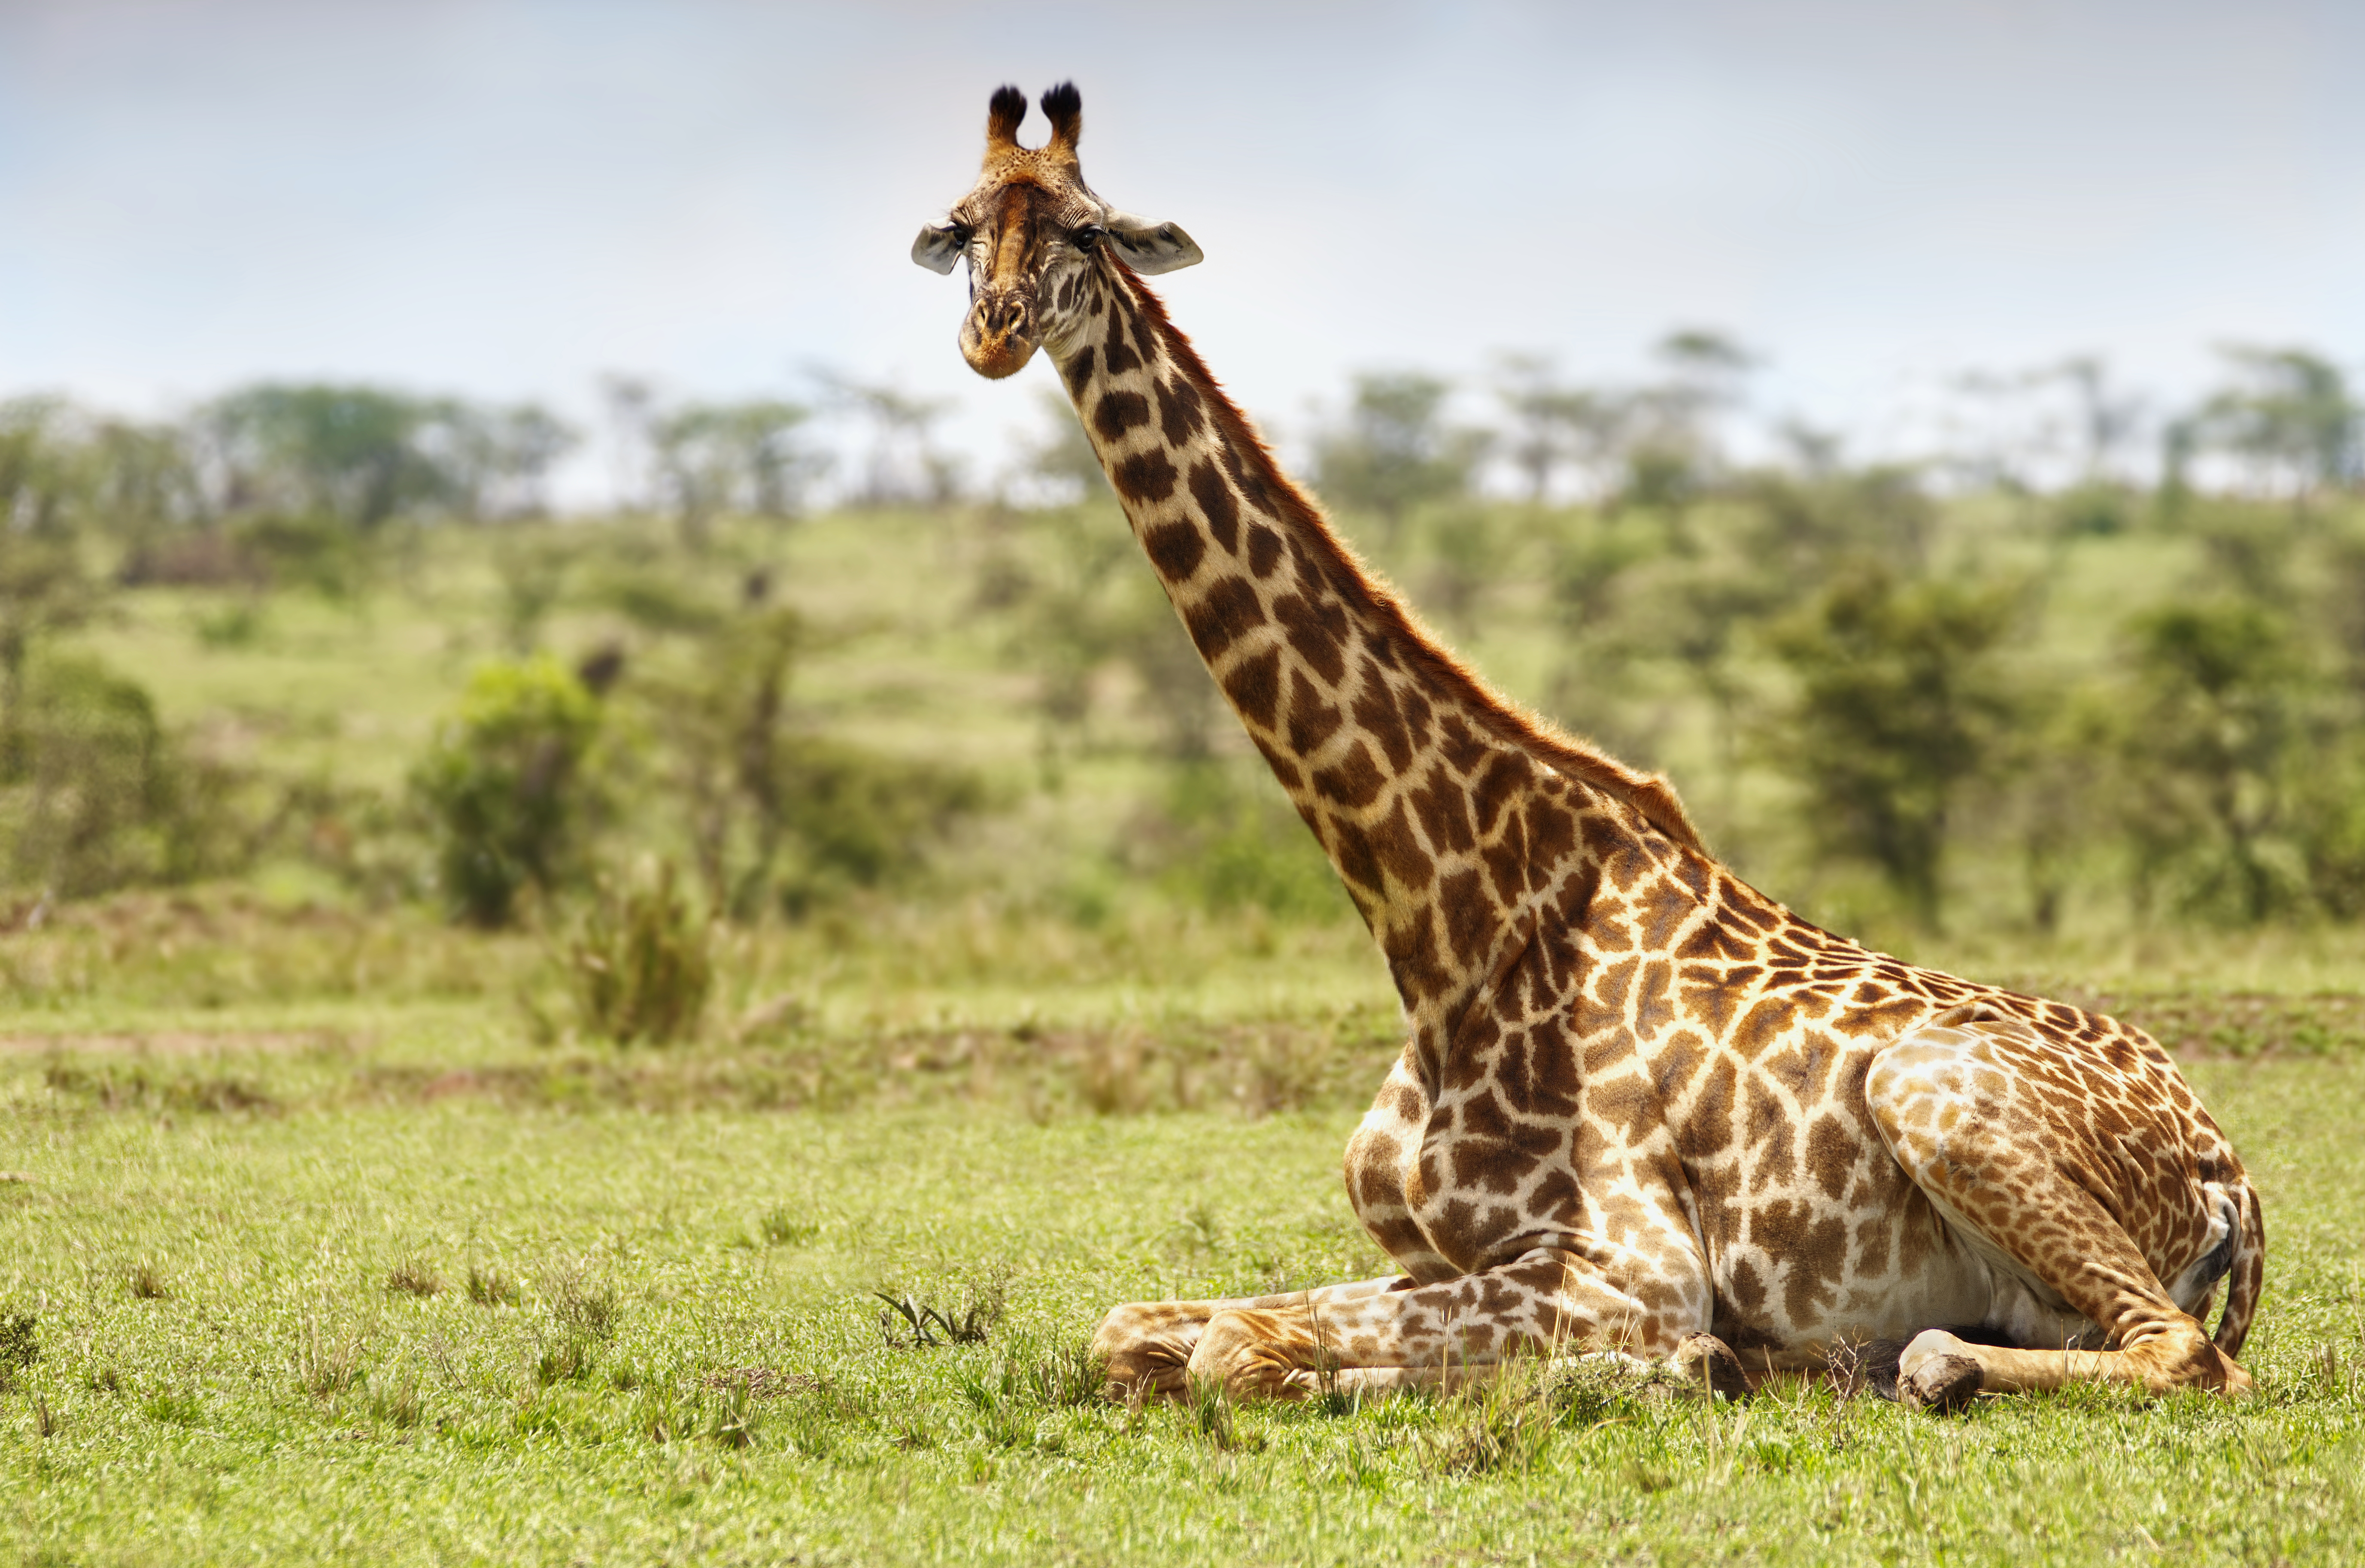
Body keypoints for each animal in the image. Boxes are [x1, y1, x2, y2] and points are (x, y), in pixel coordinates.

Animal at [911, 83, 2264, 1410]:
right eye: (962, 226)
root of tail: (2226, 1169)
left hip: (1927, 1093)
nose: (994, 330)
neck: (1439, 922)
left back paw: (1884, 1362)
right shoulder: (1430, 1253)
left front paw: (1656, 1367)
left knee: (2183, 1354)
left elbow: (1231, 1348)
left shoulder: (1630, 1260)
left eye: (1088, 229)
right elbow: (1136, 1328)